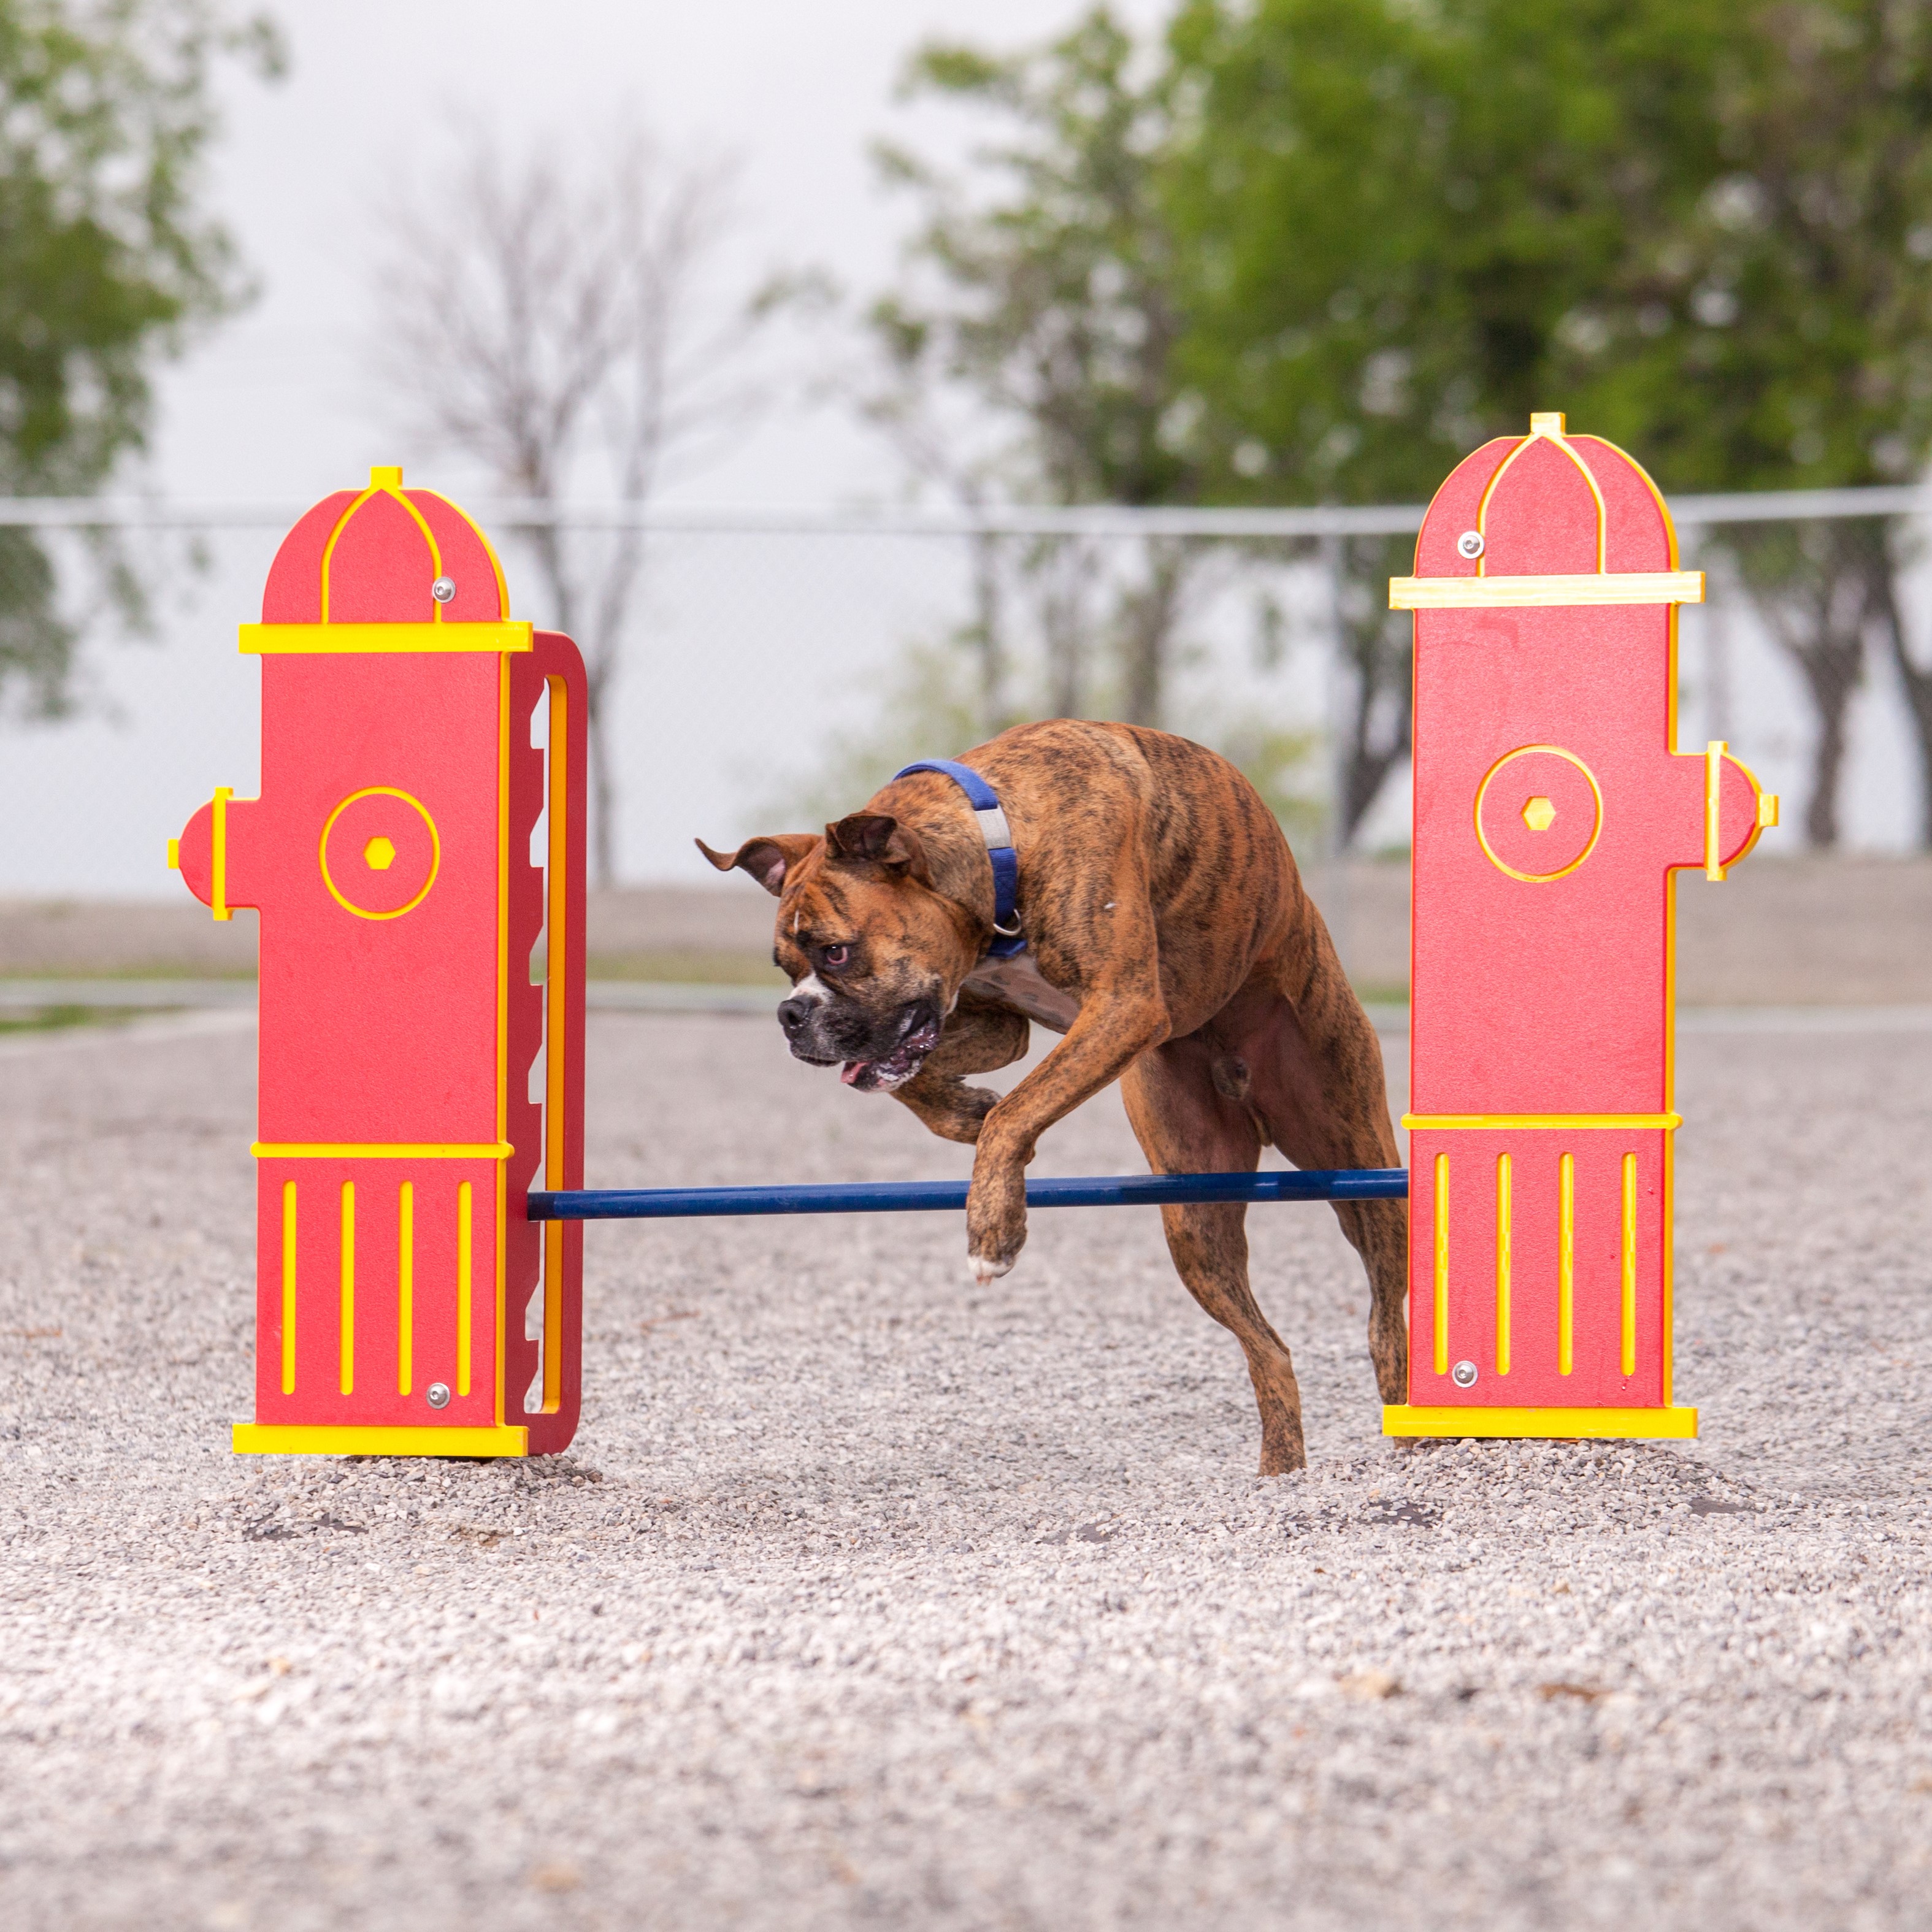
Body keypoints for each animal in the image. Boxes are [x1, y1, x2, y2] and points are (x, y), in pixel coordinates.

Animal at [703, 718, 1414, 1468]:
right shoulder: (995, 1022)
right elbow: (920, 1086)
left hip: (1363, 1171)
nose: (791, 1015)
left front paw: (993, 1229)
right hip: (1196, 1216)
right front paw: (967, 1114)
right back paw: (1283, 1473)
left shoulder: (1122, 1008)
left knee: (1384, 1319)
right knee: (1268, 1352)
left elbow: (1018, 1111)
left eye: (836, 952)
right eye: (786, 967)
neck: (997, 838)